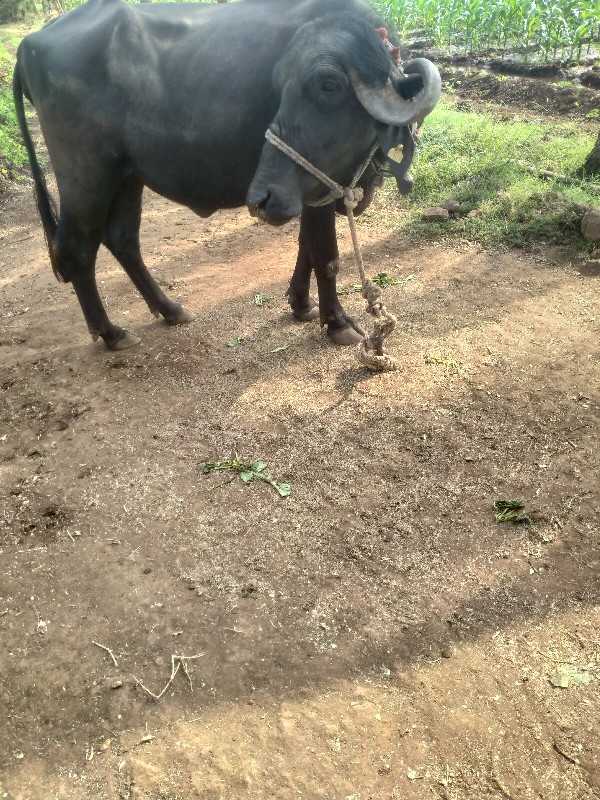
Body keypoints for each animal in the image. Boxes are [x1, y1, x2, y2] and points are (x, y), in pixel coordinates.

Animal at [11, 0, 438, 350]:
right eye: (283, 85)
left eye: (329, 85)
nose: (258, 198)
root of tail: (31, 43)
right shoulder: (317, 185)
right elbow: (325, 255)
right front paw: (339, 322)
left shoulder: (302, 186)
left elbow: (304, 246)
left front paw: (301, 303)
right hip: (86, 175)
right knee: (75, 248)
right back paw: (111, 332)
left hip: (126, 173)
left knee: (122, 239)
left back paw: (170, 309)